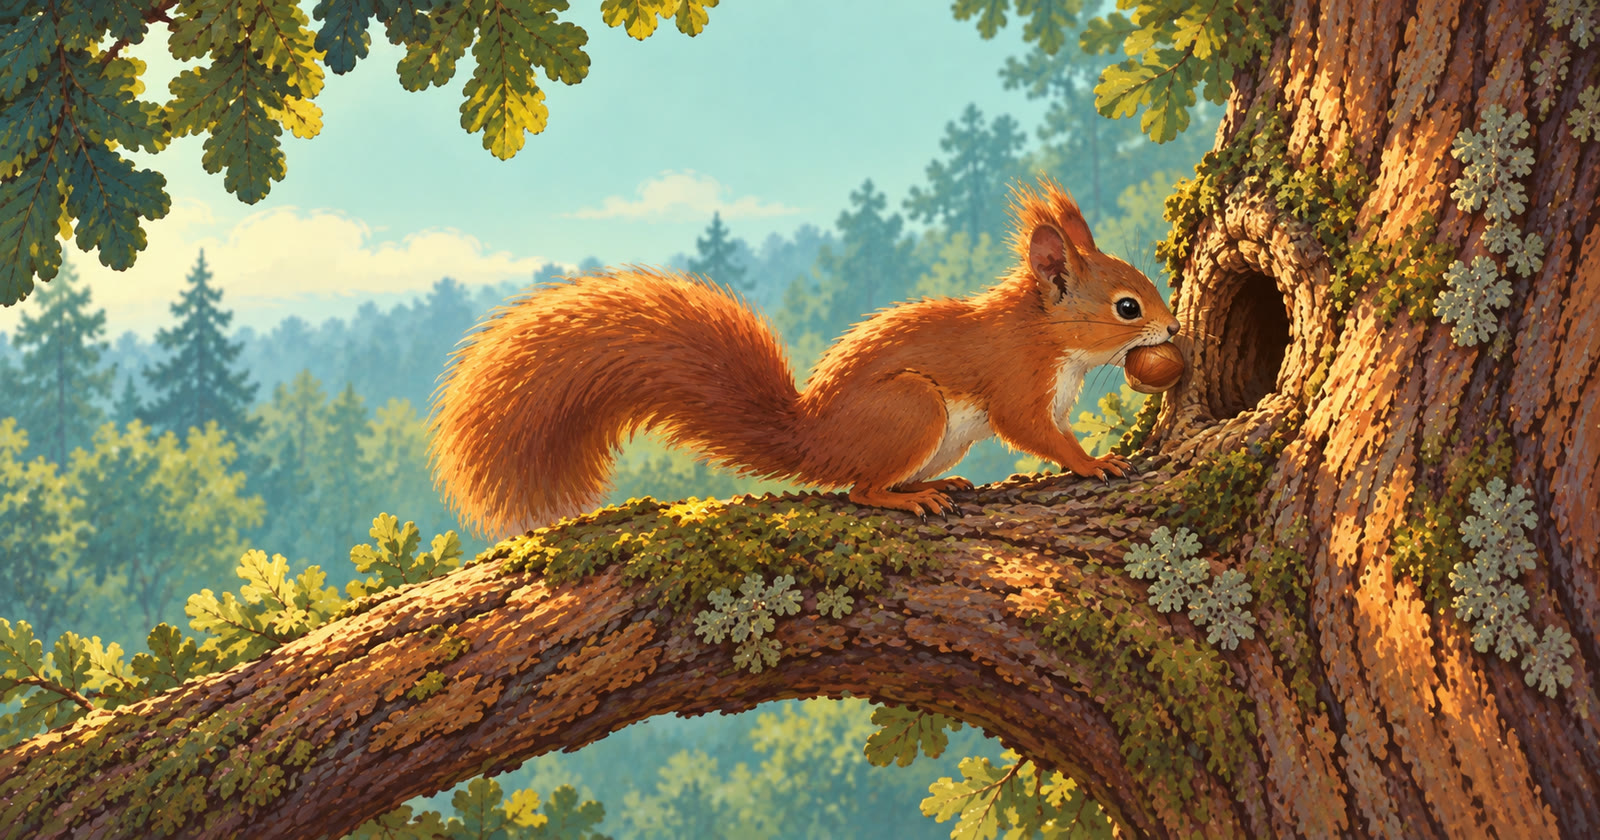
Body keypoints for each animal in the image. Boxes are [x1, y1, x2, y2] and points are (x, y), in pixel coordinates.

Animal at [429, 178, 1180, 538]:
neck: (1049, 338)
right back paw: (912, 498)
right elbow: (1036, 432)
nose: (1173, 327)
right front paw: (1095, 461)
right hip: (912, 409)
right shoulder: (1016, 382)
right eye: (1127, 308)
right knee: (860, 491)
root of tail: (816, 439)